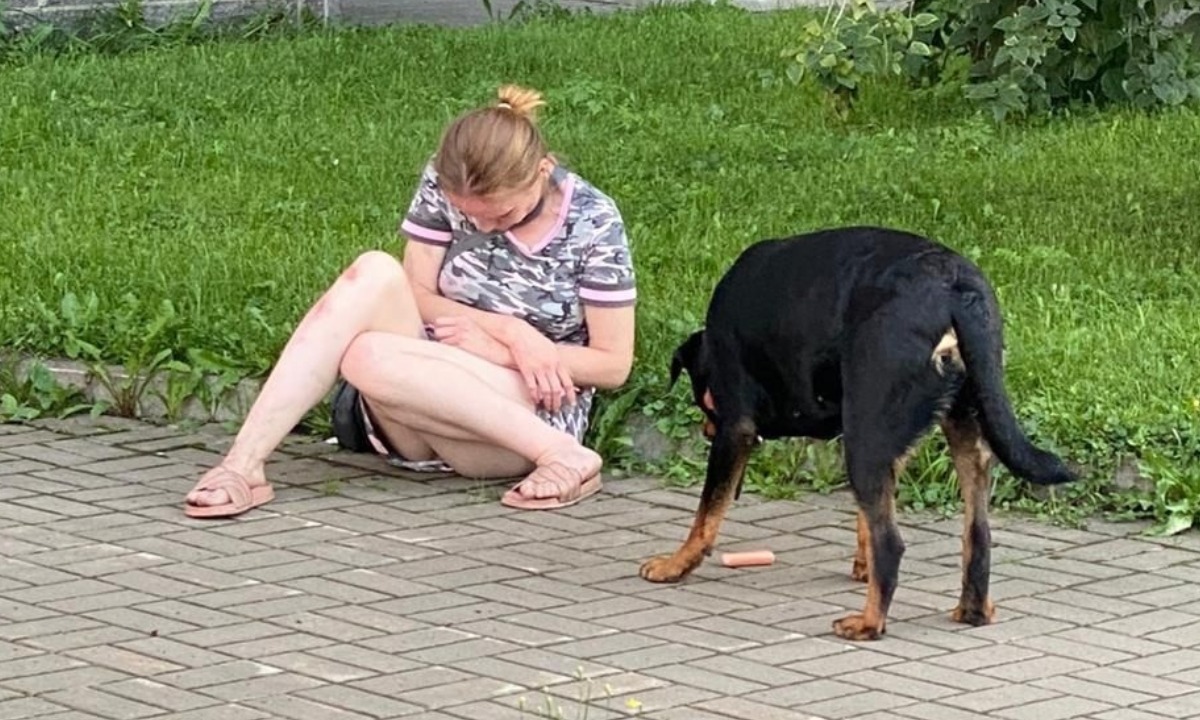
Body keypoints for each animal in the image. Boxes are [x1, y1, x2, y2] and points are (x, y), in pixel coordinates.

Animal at [643, 226, 1075, 643]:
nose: (704, 428)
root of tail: (955, 286)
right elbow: (865, 517)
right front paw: (862, 566)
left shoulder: (736, 425)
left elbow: (707, 511)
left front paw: (674, 565)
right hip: (958, 427)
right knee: (977, 533)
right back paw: (973, 610)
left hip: (865, 438)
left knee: (892, 544)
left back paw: (868, 623)